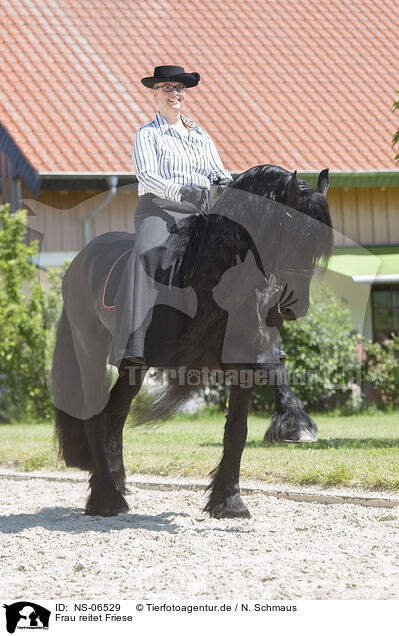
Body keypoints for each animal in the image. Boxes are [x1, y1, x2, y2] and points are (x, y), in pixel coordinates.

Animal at [53, 164, 334, 516]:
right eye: (293, 237)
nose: (295, 307)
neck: (220, 272)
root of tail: (80, 261)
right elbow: (270, 372)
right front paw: (297, 424)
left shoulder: (243, 360)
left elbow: (237, 430)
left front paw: (228, 501)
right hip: (90, 351)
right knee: (94, 418)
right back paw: (106, 499)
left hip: (134, 365)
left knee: (114, 414)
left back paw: (117, 483)